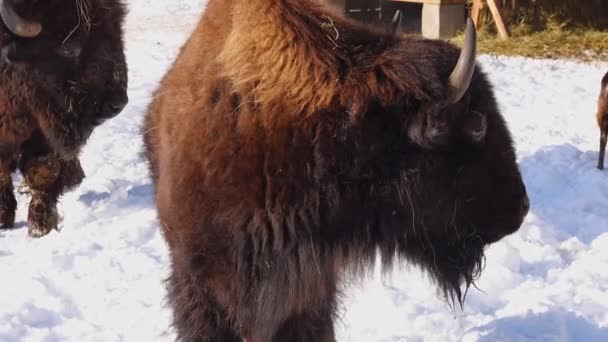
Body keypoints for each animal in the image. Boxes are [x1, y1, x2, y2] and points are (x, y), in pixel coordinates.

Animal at [0, 0, 127, 238]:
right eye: (68, 47)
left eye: (118, 32)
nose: (117, 103)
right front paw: (4, 217)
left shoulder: (43, 131)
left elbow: (42, 168)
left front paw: (40, 224)